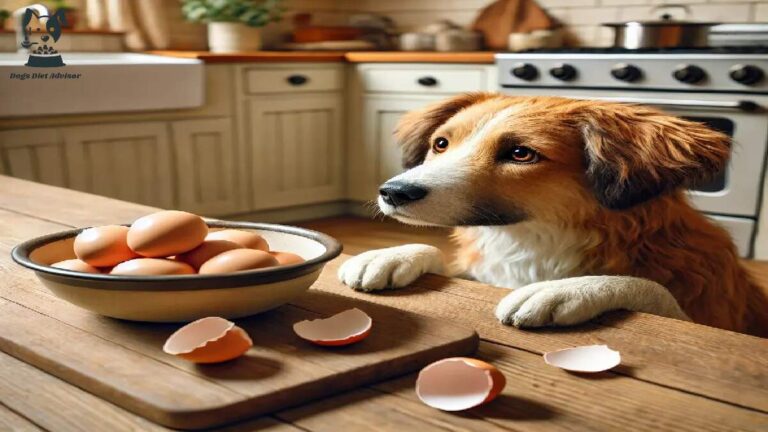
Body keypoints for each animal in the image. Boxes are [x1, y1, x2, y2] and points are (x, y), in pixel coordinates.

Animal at [340, 93, 768, 338]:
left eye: (520, 154)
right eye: (440, 144)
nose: (392, 193)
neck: (532, 238)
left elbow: (652, 290)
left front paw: (565, 288)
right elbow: (450, 263)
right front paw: (390, 254)